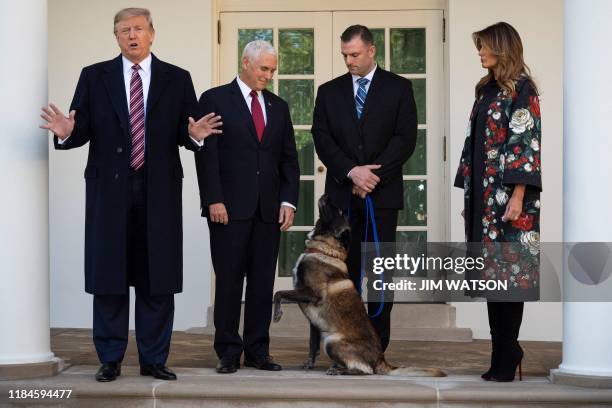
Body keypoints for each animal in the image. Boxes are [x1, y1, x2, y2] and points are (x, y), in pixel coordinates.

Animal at [272, 194, 444, 376]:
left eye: (339, 211)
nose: (327, 195)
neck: (324, 250)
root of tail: (381, 359)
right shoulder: (312, 318)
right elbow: (312, 344)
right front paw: (309, 363)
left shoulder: (311, 293)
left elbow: (278, 293)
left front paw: (277, 314)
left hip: (331, 341)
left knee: (366, 370)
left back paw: (338, 369)